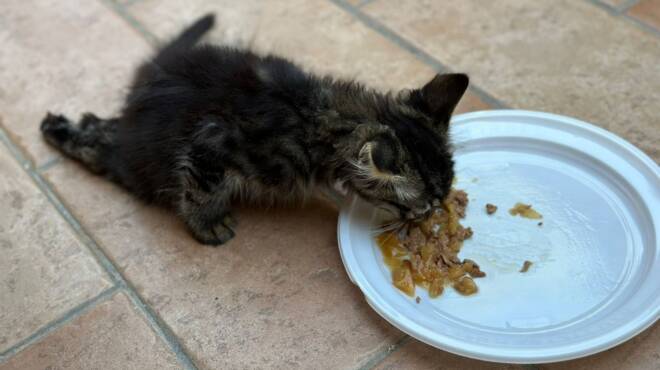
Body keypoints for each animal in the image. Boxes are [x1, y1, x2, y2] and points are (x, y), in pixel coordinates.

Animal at [40, 14, 470, 246]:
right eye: (420, 207)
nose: (428, 220)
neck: (322, 115)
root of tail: (147, 82)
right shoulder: (211, 142)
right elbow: (200, 190)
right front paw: (207, 225)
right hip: (139, 164)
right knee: (101, 149)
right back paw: (55, 129)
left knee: (97, 125)